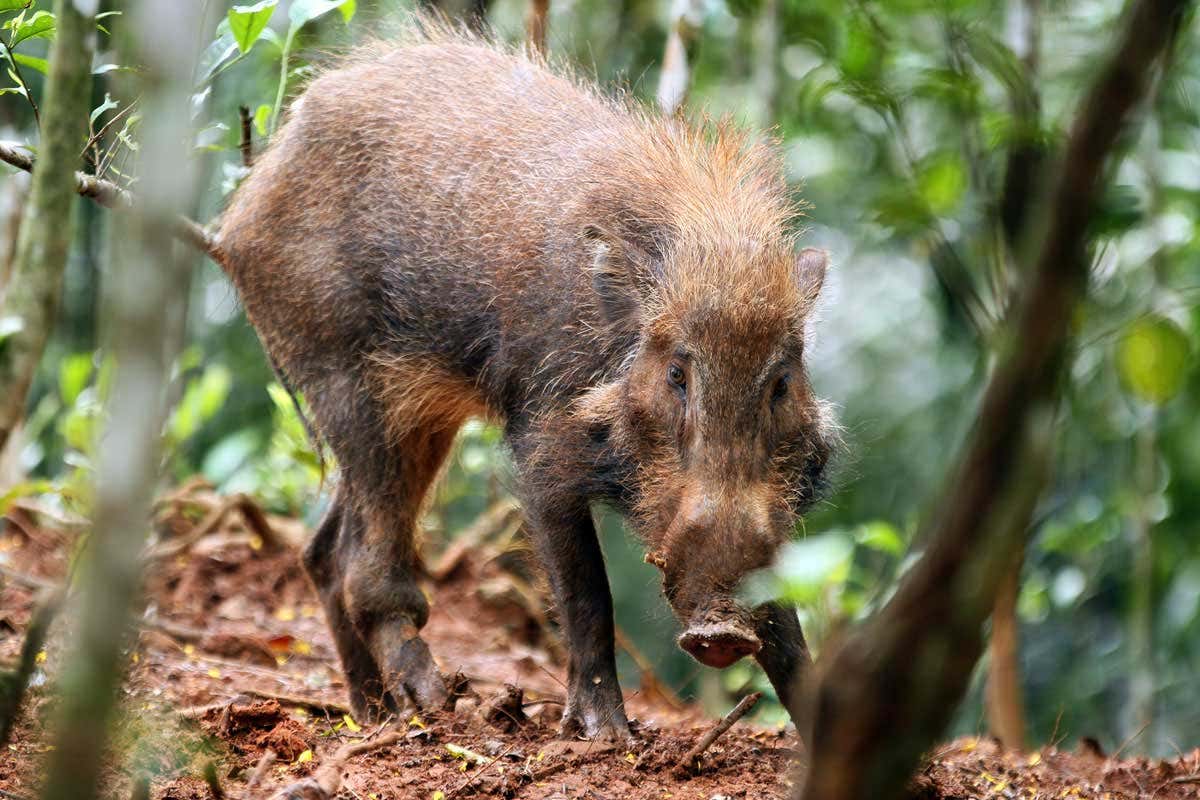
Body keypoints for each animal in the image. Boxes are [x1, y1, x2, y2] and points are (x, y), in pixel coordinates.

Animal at [215, 21, 835, 741]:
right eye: (677, 373)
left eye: (782, 382)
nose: (721, 633)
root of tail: (238, 214)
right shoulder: (543, 442)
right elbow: (587, 593)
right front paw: (608, 735)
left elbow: (788, 623)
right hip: (344, 381)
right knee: (360, 565)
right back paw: (431, 705)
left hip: (419, 414)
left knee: (322, 551)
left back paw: (373, 717)